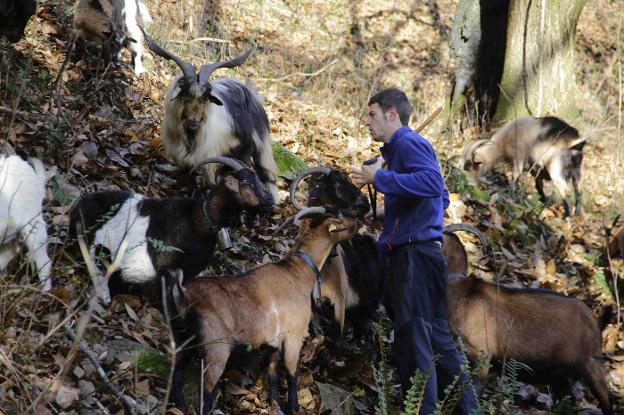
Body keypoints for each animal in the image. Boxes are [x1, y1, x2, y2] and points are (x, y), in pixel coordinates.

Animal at [168, 206, 364, 414]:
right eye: (340, 220)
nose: (359, 221)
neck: (298, 271)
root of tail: (184, 293)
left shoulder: (273, 342)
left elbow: (272, 375)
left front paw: (275, 404)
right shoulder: (294, 335)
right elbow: (291, 372)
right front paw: (294, 407)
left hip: (184, 338)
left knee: (175, 369)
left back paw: (179, 405)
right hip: (216, 348)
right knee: (205, 390)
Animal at [460, 115, 588, 216]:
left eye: (472, 166)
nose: (470, 183)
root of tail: (574, 143)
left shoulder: (519, 158)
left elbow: (514, 179)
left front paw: (512, 195)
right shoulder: (535, 169)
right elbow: (538, 186)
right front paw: (542, 201)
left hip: (556, 170)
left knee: (567, 192)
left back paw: (568, 216)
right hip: (578, 171)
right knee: (579, 192)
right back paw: (576, 215)